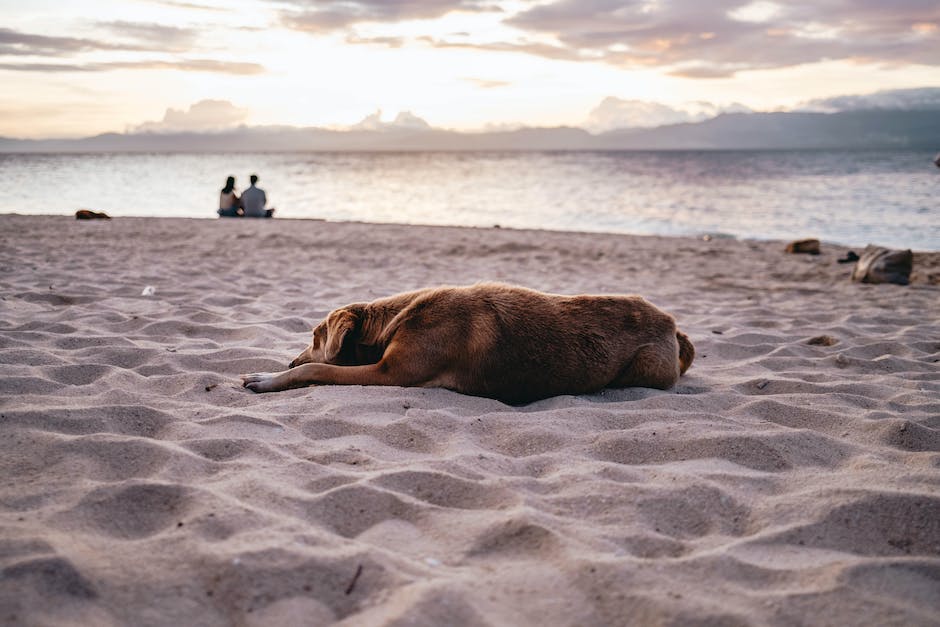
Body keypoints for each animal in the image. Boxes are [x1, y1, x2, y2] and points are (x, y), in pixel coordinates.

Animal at [242, 284, 692, 404]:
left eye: (315, 337)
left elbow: (318, 368)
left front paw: (267, 378)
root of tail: (673, 325)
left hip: (645, 367)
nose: (288, 360)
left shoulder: (391, 373)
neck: (395, 323)